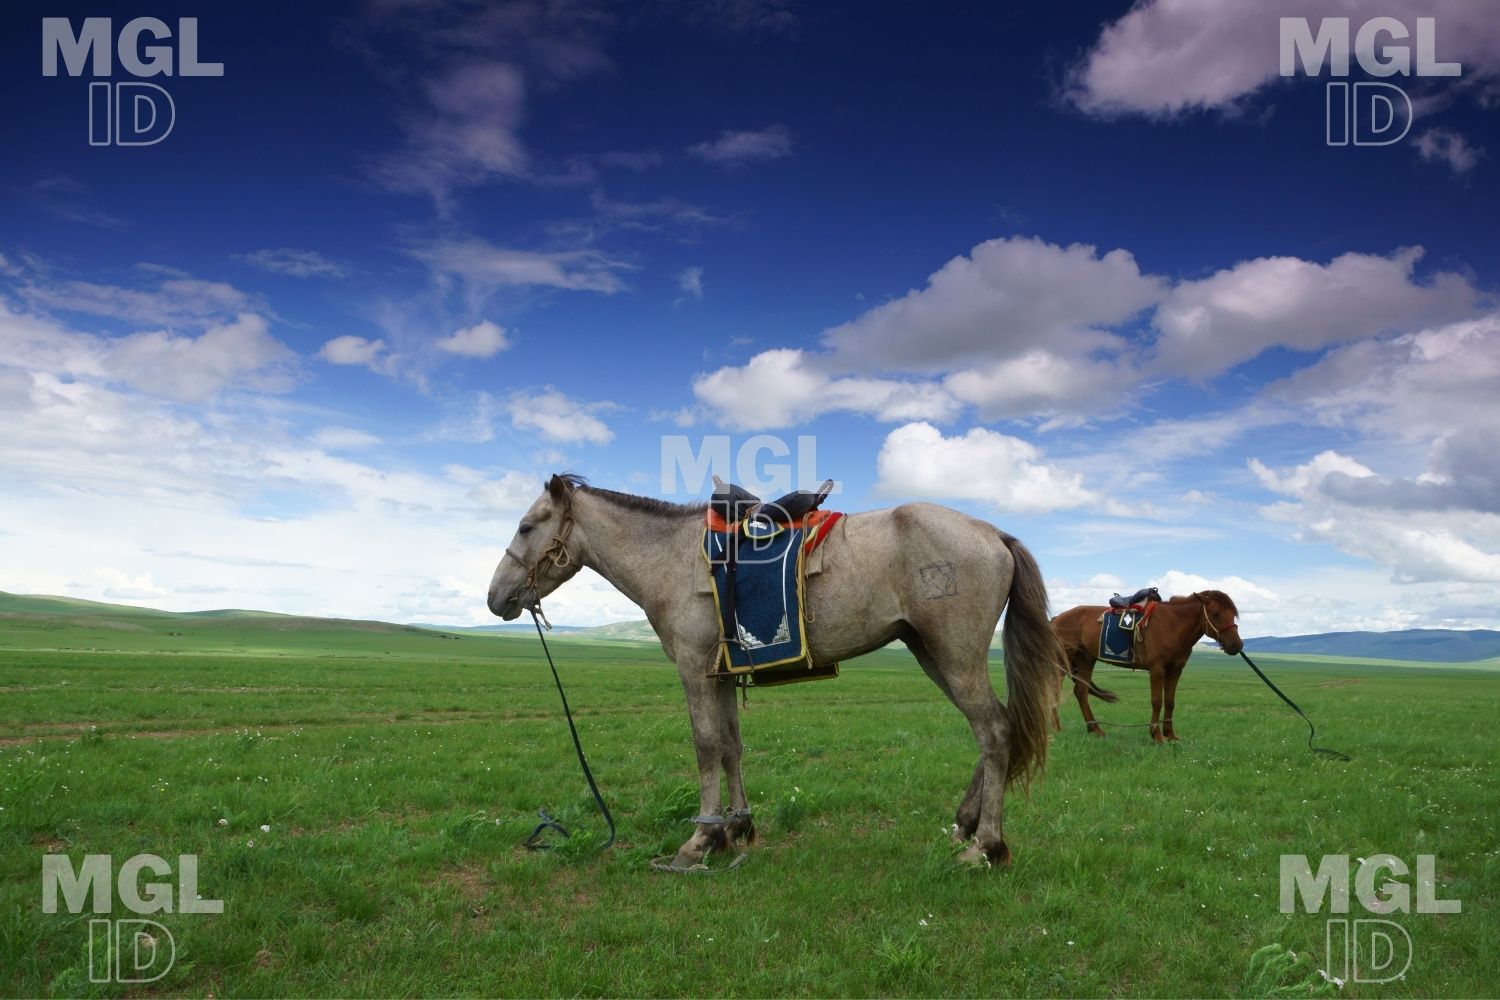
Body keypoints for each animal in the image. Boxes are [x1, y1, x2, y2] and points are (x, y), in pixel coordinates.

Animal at [486, 476, 1062, 869]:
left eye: (526, 526)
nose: (495, 597)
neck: (668, 558)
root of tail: (993, 533)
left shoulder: (694, 670)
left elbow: (705, 747)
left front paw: (698, 842)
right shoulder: (719, 674)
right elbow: (730, 747)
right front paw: (735, 830)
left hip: (954, 654)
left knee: (994, 730)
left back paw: (985, 846)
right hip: (929, 652)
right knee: (994, 727)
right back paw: (964, 827)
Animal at [1044, 593, 1242, 743]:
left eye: (1233, 614)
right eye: (1216, 613)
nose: (1236, 645)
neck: (1173, 625)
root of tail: (1057, 618)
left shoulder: (1175, 670)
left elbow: (1170, 702)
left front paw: (1171, 735)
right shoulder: (1157, 669)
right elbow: (1157, 701)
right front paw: (1157, 735)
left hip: (1085, 661)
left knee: (1081, 692)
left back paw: (1096, 729)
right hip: (1062, 663)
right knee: (1055, 691)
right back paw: (1057, 728)